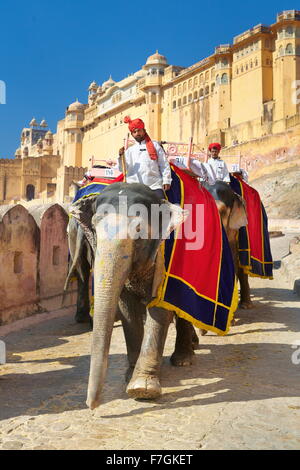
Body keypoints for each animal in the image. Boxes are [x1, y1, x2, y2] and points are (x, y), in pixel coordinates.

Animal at [67, 182, 189, 410]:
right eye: (94, 227)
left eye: (139, 230)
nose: (92, 406)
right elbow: (126, 309)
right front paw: (129, 376)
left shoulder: (165, 256)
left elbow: (161, 307)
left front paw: (142, 389)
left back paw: (183, 359)